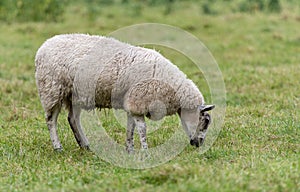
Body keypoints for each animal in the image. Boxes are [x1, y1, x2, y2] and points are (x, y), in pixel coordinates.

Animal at [34, 33, 213, 152]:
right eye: (205, 122)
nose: (199, 144)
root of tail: (44, 46)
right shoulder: (138, 102)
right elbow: (142, 129)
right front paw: (145, 150)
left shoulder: (132, 103)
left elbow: (130, 128)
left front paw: (130, 149)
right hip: (52, 89)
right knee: (51, 120)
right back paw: (58, 147)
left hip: (74, 94)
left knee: (73, 119)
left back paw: (85, 146)